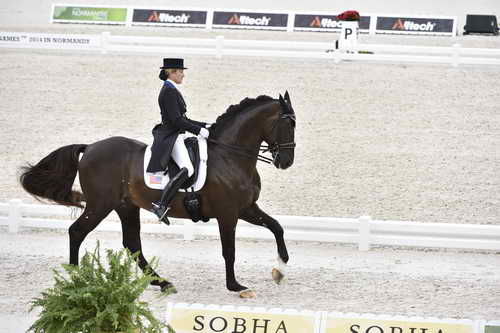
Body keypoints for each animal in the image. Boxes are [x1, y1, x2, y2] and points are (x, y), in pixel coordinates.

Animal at [19, 92, 294, 296]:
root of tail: (90, 148)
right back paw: (76, 278)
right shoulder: (228, 214)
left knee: (132, 244)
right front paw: (236, 286)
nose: (286, 162)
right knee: (77, 232)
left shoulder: (246, 208)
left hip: (125, 206)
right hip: (100, 205)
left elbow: (277, 227)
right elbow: (230, 250)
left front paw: (280, 269)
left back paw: (162, 282)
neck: (230, 156)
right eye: (287, 124)